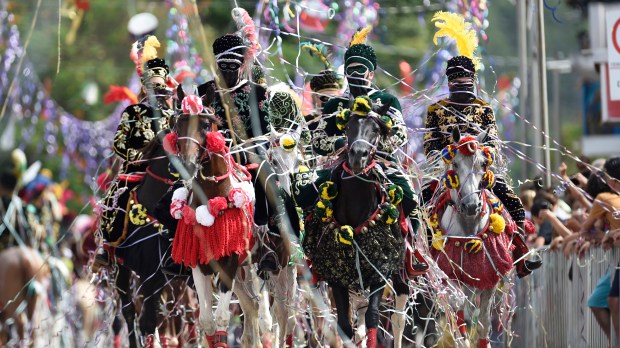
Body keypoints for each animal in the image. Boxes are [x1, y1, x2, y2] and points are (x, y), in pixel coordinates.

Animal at [170, 109, 268, 348]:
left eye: (205, 125)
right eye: (178, 125)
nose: (187, 163)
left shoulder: (230, 261)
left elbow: (222, 318)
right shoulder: (198, 261)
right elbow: (207, 321)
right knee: (251, 305)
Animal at [302, 99, 410, 346]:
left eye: (377, 129)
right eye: (348, 126)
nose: (358, 155)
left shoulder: (381, 268)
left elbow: (373, 316)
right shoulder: (337, 275)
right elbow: (344, 325)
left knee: (398, 316)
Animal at [428, 128, 516, 348]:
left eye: (483, 164)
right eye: (455, 164)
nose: (471, 205)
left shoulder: (489, 277)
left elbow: (483, 321)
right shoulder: (449, 274)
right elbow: (461, 313)